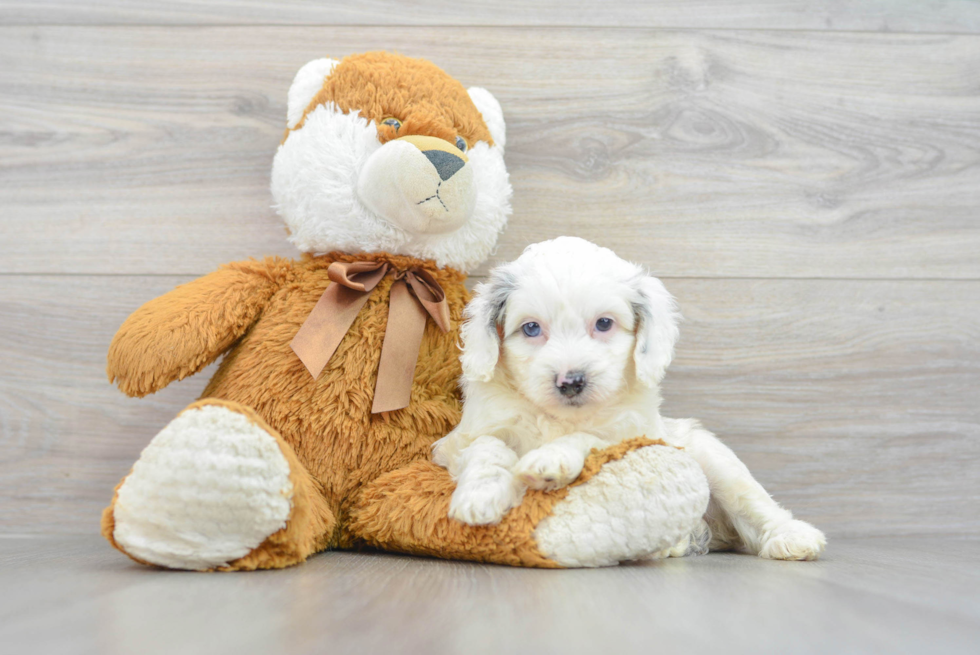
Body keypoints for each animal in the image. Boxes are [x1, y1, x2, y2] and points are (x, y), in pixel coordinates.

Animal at [432, 238, 824, 560]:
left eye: (604, 324)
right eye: (531, 328)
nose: (571, 381)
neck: (560, 417)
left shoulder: (630, 434)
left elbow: (588, 438)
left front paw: (550, 459)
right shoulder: (465, 437)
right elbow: (488, 447)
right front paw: (479, 496)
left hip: (715, 461)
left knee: (753, 503)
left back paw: (792, 537)